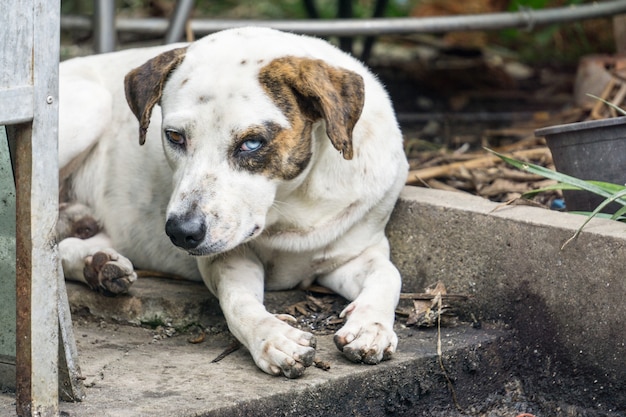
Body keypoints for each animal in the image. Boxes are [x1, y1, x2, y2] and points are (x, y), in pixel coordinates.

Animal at [58, 26, 408, 376]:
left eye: (252, 143)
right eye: (174, 136)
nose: (181, 232)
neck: (293, 206)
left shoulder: (357, 253)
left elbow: (389, 275)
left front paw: (371, 327)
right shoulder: (226, 258)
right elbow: (238, 301)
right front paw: (272, 337)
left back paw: (97, 263)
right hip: (92, 103)